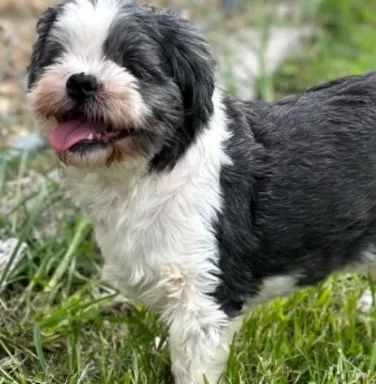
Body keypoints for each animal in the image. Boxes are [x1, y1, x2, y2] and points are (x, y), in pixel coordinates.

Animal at [27, 0, 376, 384]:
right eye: (56, 57)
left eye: (135, 65)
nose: (81, 81)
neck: (145, 173)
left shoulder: (203, 294)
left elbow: (193, 362)